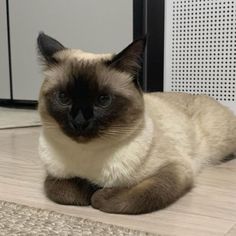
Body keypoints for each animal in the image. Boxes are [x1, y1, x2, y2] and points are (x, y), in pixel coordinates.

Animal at [36, 32, 236, 215]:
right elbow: (59, 190)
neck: (88, 154)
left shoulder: (174, 170)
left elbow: (134, 197)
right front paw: (89, 189)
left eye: (103, 100)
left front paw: (99, 195)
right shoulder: (54, 175)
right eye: (63, 98)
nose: (79, 122)